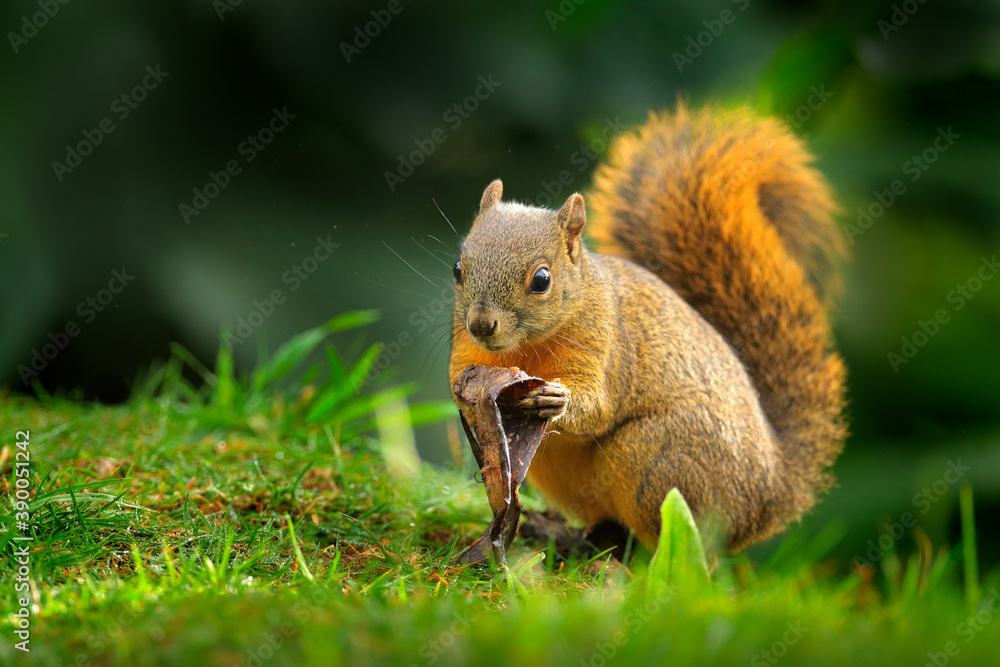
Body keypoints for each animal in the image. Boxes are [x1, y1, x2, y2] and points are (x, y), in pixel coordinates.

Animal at [450, 104, 848, 552]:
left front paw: (559, 401)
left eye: (542, 280)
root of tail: (769, 494)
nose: (482, 325)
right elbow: (458, 381)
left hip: (656, 459)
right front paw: (468, 397)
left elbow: (599, 407)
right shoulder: (465, 347)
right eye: (458, 269)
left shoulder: (605, 344)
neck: (522, 349)